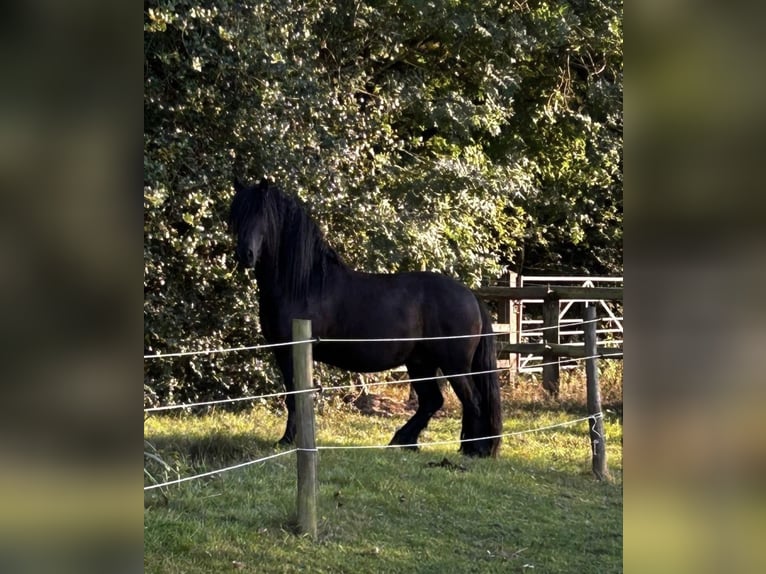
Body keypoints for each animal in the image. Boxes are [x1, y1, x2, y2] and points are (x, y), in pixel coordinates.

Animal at [228, 178, 502, 457]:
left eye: (262, 215)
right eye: (237, 215)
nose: (245, 254)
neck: (304, 285)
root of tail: (470, 295)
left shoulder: (289, 351)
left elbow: (294, 395)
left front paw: (286, 440)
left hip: (453, 365)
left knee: (472, 401)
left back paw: (475, 449)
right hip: (420, 363)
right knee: (432, 401)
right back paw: (404, 441)